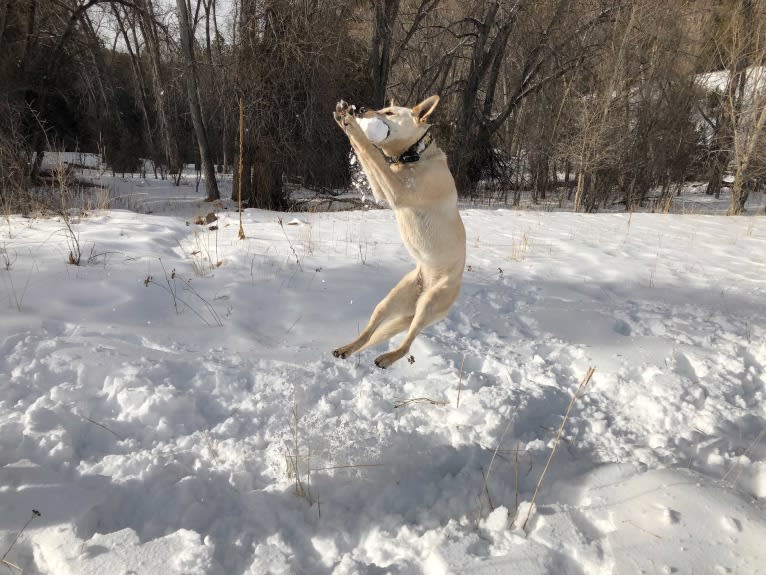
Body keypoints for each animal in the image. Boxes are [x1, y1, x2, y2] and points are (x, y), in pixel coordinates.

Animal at [332, 95, 464, 368]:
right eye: (381, 108)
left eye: (390, 112)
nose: (361, 109)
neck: (415, 157)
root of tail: (425, 284)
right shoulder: (384, 192)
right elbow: (368, 156)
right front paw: (343, 119)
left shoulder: (398, 193)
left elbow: (372, 152)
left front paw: (353, 125)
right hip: (389, 302)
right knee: (369, 334)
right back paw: (347, 349)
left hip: (429, 305)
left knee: (407, 343)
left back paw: (387, 358)